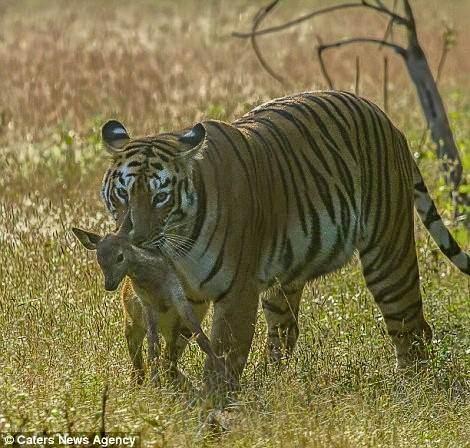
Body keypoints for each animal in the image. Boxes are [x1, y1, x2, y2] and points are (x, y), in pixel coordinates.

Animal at [98, 92, 466, 392]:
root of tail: (391, 124)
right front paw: (169, 386)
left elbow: (223, 358)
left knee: (411, 327)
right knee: (284, 333)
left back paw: (410, 391)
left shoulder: (238, 292)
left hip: (387, 255)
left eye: (160, 196)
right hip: (284, 279)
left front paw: (212, 408)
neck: (180, 245)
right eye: (123, 193)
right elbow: (170, 344)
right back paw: (267, 383)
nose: (138, 239)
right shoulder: (184, 291)